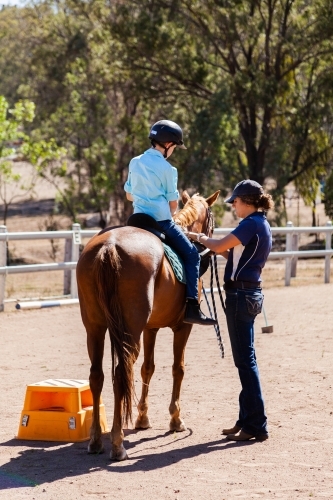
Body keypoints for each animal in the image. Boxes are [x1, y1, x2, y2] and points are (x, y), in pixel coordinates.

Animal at [76, 190, 219, 460]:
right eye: (212, 219)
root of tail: (109, 246)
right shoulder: (183, 327)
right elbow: (178, 368)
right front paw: (175, 419)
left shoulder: (149, 328)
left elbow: (147, 369)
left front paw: (142, 418)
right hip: (129, 330)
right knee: (121, 374)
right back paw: (118, 444)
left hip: (95, 327)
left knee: (97, 376)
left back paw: (96, 441)